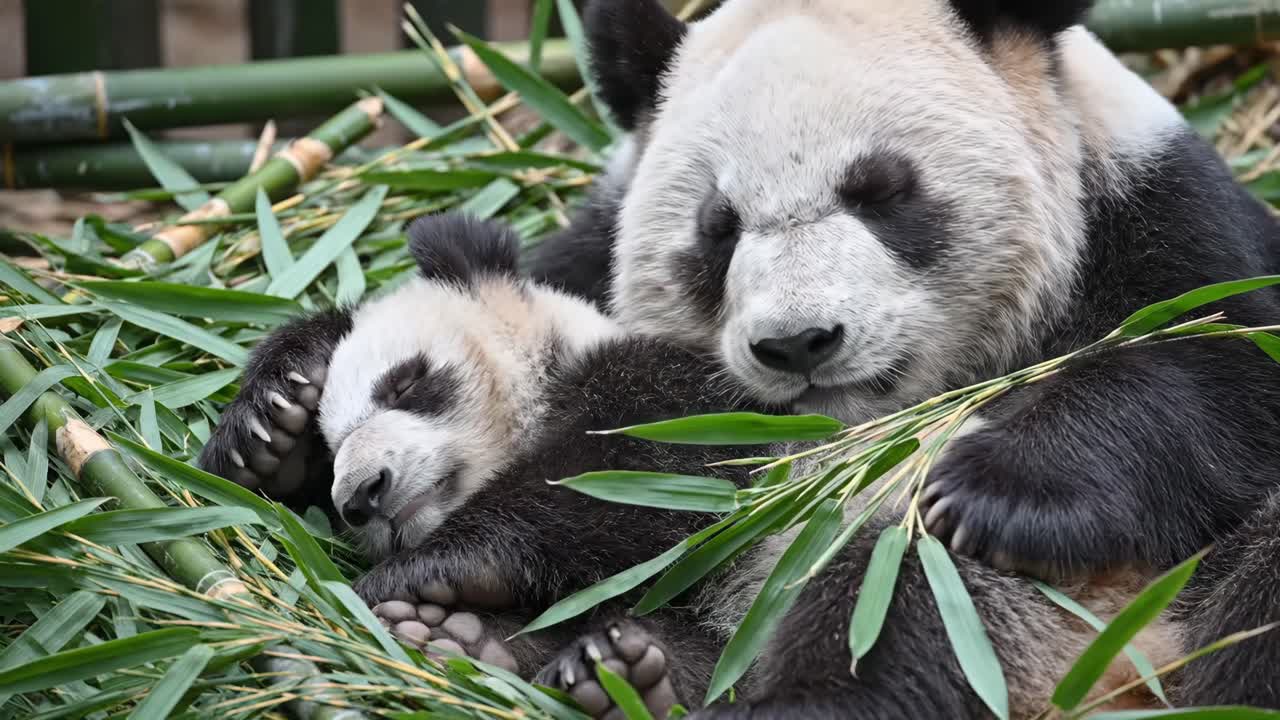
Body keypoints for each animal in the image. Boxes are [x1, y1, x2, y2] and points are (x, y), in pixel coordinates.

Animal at [519, 0, 1280, 714]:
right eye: (719, 226)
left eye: (880, 190)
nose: (798, 342)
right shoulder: (582, 264)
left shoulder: (1157, 219)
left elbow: (1213, 381)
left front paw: (990, 495)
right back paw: (619, 670)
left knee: (903, 594)